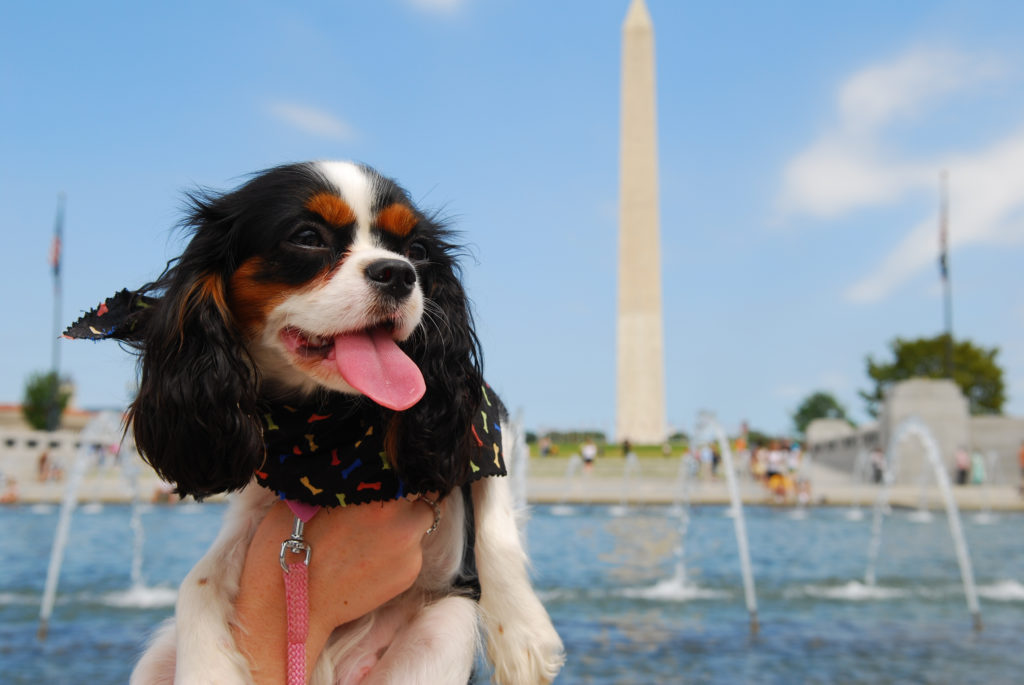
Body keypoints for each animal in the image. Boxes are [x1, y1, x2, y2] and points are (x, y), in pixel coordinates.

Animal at [68, 161, 565, 683]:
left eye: (417, 251)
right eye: (307, 237)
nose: (399, 273)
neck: (328, 431)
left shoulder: (484, 423)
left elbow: (495, 515)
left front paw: (524, 634)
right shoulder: (259, 500)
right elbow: (198, 579)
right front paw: (207, 667)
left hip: (445, 625)